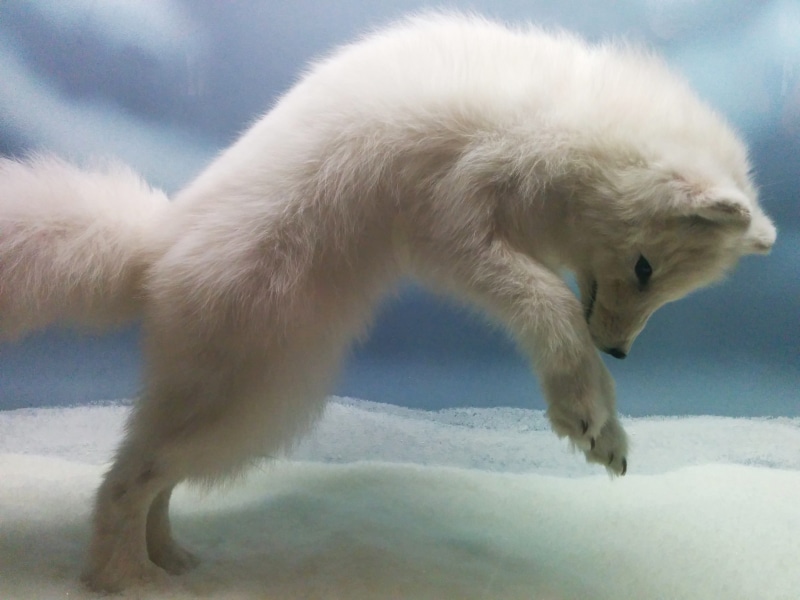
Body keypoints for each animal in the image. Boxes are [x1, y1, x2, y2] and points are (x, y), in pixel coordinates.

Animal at [0, 13, 776, 592]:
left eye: (667, 288)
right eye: (643, 268)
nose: (618, 349)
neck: (565, 124)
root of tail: (159, 246)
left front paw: (605, 423)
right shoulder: (453, 217)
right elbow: (548, 303)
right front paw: (588, 415)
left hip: (229, 399)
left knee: (148, 472)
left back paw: (174, 562)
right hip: (252, 403)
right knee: (126, 480)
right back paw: (124, 580)